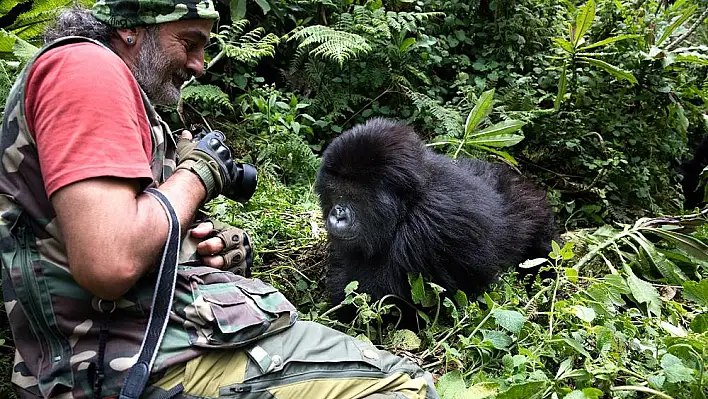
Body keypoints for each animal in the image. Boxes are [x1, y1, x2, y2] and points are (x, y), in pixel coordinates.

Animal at [316, 117, 560, 324]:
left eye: (355, 197)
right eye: (336, 192)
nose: (338, 213)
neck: (410, 202)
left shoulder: (432, 224)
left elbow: (378, 297)